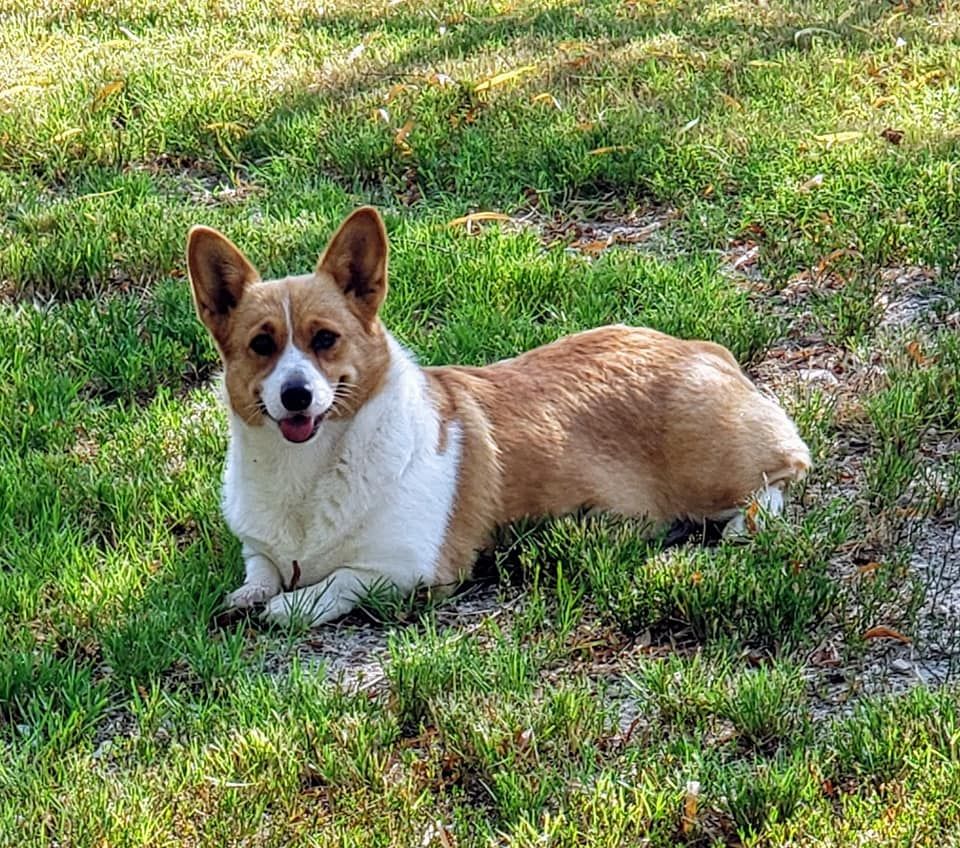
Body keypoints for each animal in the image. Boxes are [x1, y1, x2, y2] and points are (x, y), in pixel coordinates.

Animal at [188, 208, 808, 628]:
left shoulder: (407, 568)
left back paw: (744, 524)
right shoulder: (261, 549)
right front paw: (250, 595)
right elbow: (260, 569)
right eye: (261, 345)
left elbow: (337, 582)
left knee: (783, 473)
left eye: (324, 339)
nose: (295, 396)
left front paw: (287, 606)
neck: (306, 471)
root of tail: (702, 348)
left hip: (712, 470)